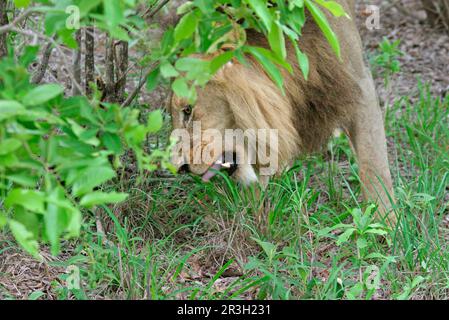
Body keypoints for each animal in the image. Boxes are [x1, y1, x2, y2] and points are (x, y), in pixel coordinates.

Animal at [169, 0, 396, 224]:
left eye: (188, 111)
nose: (180, 168)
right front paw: (250, 219)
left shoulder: (359, 85)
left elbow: (373, 166)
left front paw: (384, 224)